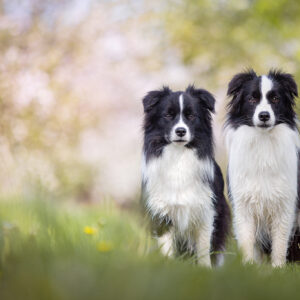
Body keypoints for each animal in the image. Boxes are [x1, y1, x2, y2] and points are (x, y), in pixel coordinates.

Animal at [142, 85, 231, 266]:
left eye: (191, 116)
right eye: (168, 115)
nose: (181, 131)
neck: (179, 155)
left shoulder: (206, 210)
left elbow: (204, 248)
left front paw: (205, 269)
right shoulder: (162, 211)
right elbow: (166, 246)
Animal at [225, 69, 300, 268]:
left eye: (275, 99)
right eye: (252, 99)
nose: (264, 116)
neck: (263, 141)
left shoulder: (285, 204)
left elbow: (280, 243)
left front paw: (278, 269)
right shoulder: (243, 203)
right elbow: (247, 241)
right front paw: (249, 268)